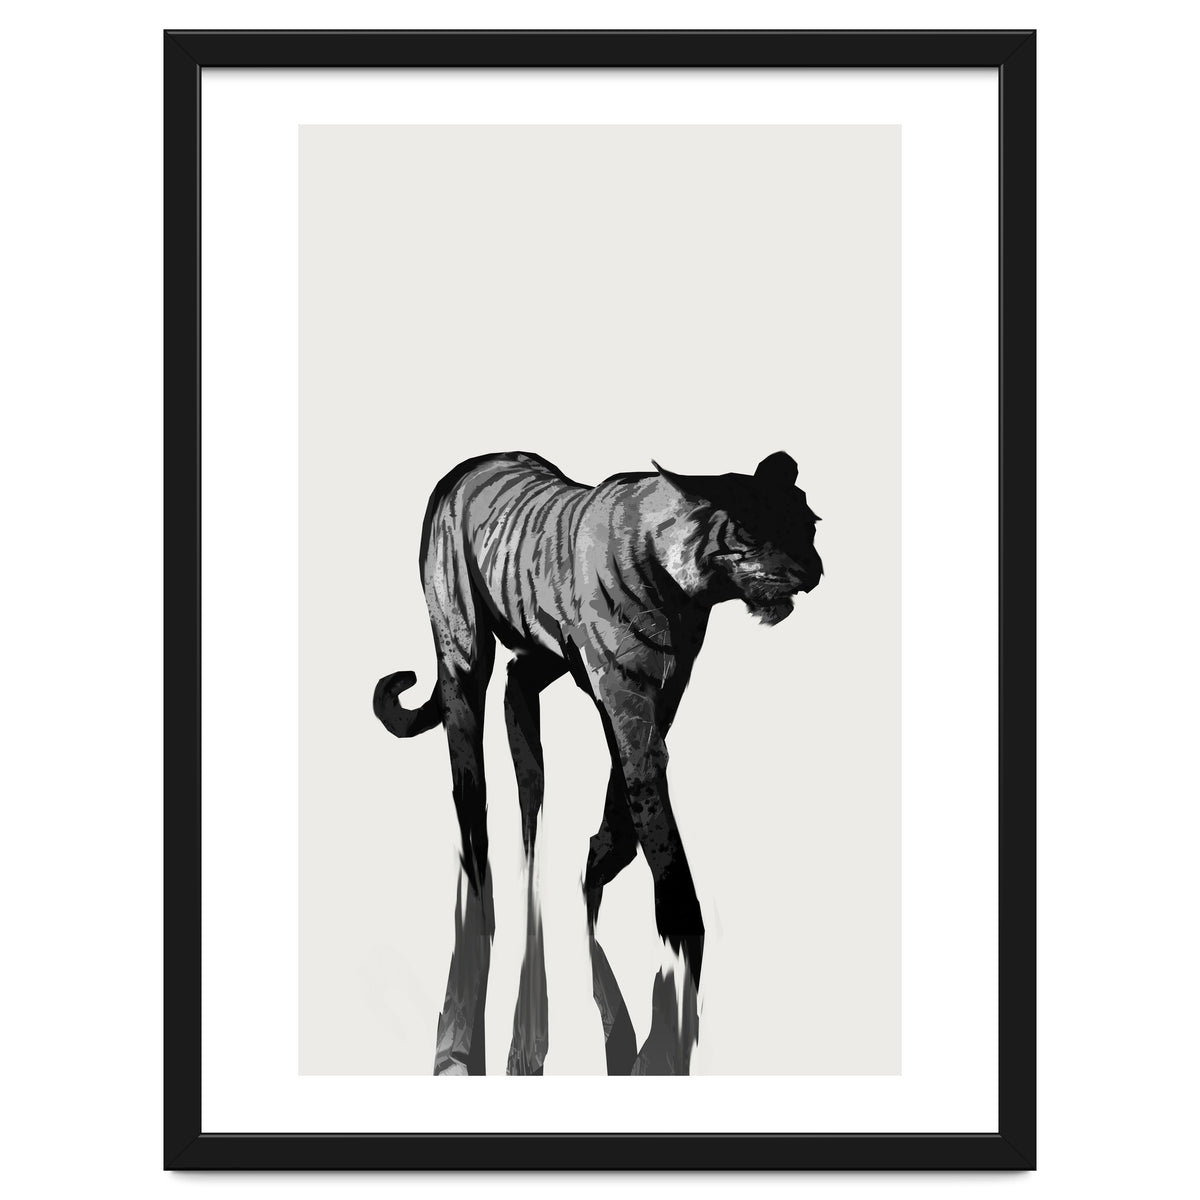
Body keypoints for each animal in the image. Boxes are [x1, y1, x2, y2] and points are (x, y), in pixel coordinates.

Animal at [373, 450, 823, 1075]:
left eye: (808, 525)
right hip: (462, 650)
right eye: (755, 528)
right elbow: (649, 802)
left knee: (519, 707)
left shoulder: (665, 690)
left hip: (539, 654)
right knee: (469, 768)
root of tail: (470, 464)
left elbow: (624, 794)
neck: (687, 593)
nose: (815, 571)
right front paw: (680, 932)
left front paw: (598, 864)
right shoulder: (626, 693)